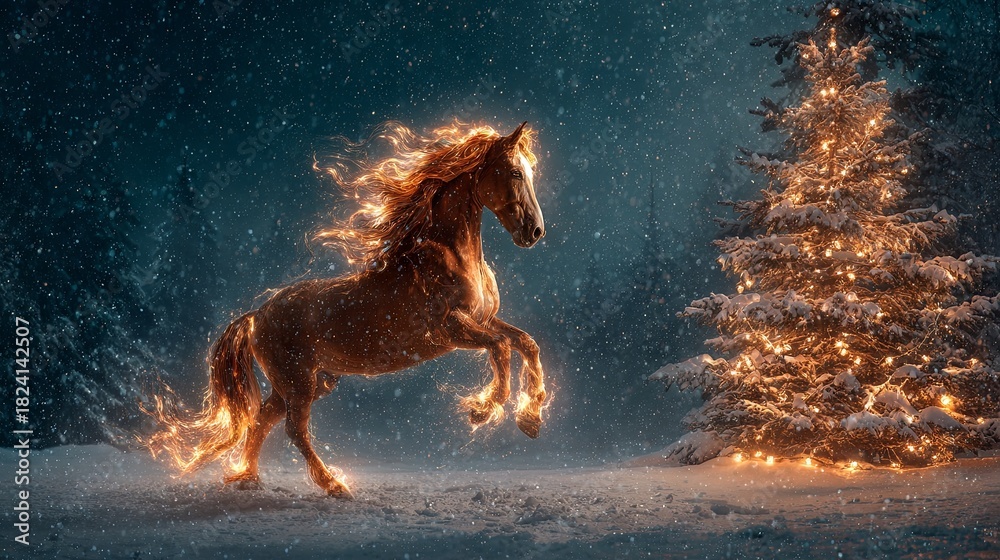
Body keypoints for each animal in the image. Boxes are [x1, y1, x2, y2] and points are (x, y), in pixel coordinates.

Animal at [145, 121, 548, 498]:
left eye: (530, 171)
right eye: (515, 173)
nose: (535, 232)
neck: (450, 255)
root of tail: (256, 316)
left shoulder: (483, 319)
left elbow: (526, 343)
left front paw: (531, 418)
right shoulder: (450, 328)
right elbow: (501, 348)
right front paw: (482, 410)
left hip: (301, 383)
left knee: (262, 420)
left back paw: (248, 478)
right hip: (300, 383)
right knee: (294, 429)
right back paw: (334, 485)